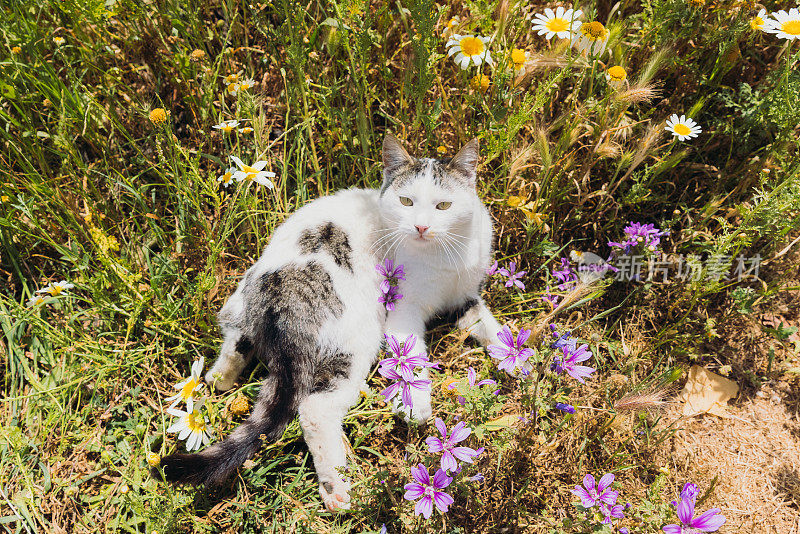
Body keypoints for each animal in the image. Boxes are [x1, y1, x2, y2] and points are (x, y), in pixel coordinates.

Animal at [155, 136, 500, 512]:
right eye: (406, 201)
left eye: (443, 205)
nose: (421, 227)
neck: (448, 256)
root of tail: (281, 294)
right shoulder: (403, 307)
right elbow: (411, 358)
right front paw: (416, 405)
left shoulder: (465, 296)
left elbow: (494, 330)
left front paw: (518, 361)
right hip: (357, 338)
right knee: (314, 409)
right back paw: (336, 488)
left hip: (241, 298)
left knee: (236, 337)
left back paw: (220, 377)